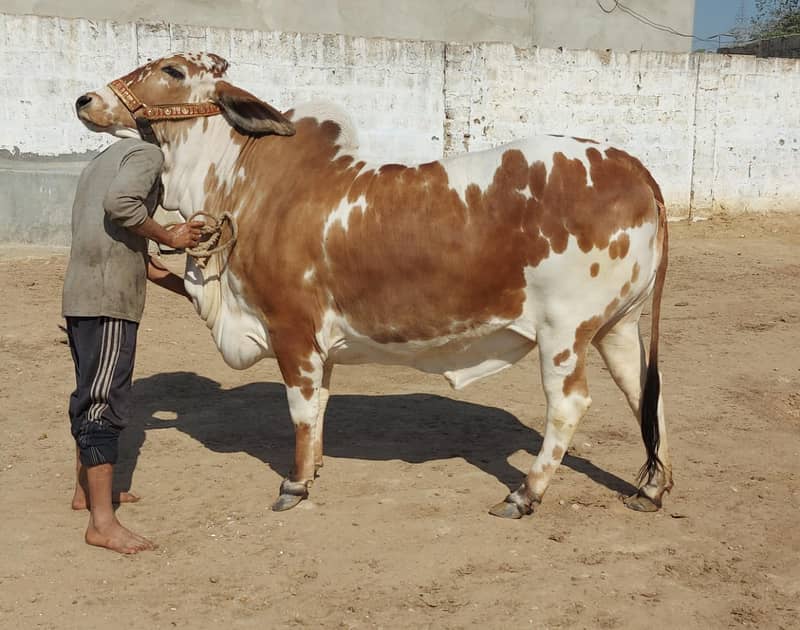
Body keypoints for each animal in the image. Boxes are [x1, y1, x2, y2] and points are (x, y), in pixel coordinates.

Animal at [76, 53, 676, 520]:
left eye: (172, 70)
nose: (86, 98)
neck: (246, 182)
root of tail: (635, 168)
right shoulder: (320, 343)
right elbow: (320, 406)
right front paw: (316, 465)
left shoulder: (293, 330)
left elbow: (300, 409)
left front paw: (296, 483)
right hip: (617, 327)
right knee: (643, 393)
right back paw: (651, 487)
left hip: (563, 330)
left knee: (569, 405)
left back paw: (524, 493)